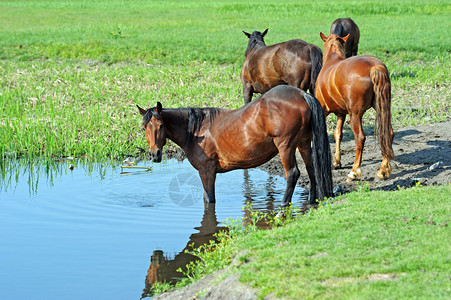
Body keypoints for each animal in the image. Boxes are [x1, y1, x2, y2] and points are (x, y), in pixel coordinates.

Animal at [136, 84, 334, 206]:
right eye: (144, 127)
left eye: (161, 125)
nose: (155, 154)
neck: (195, 132)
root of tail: (302, 94)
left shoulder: (206, 171)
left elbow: (209, 199)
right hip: (304, 143)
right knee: (311, 169)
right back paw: (311, 201)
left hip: (285, 146)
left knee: (293, 173)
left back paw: (284, 204)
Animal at [316, 32, 394, 183]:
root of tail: (374, 66)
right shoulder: (341, 113)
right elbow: (338, 134)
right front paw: (337, 162)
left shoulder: (323, 110)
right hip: (381, 108)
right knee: (389, 133)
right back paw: (383, 170)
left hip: (355, 115)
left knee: (360, 138)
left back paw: (354, 172)